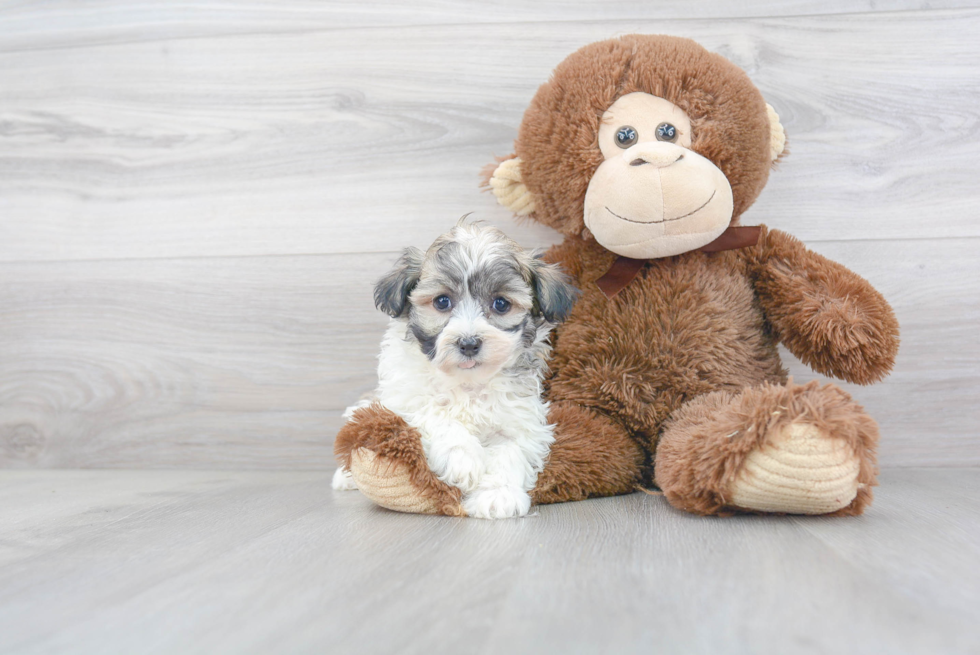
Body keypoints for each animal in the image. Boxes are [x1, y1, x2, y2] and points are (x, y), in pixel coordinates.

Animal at [334, 223, 580, 520]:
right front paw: (463, 460)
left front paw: (498, 494)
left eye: (501, 304)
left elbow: (510, 448)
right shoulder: (404, 400)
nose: (469, 343)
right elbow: (436, 415)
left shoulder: (520, 418)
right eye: (442, 302)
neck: (467, 382)